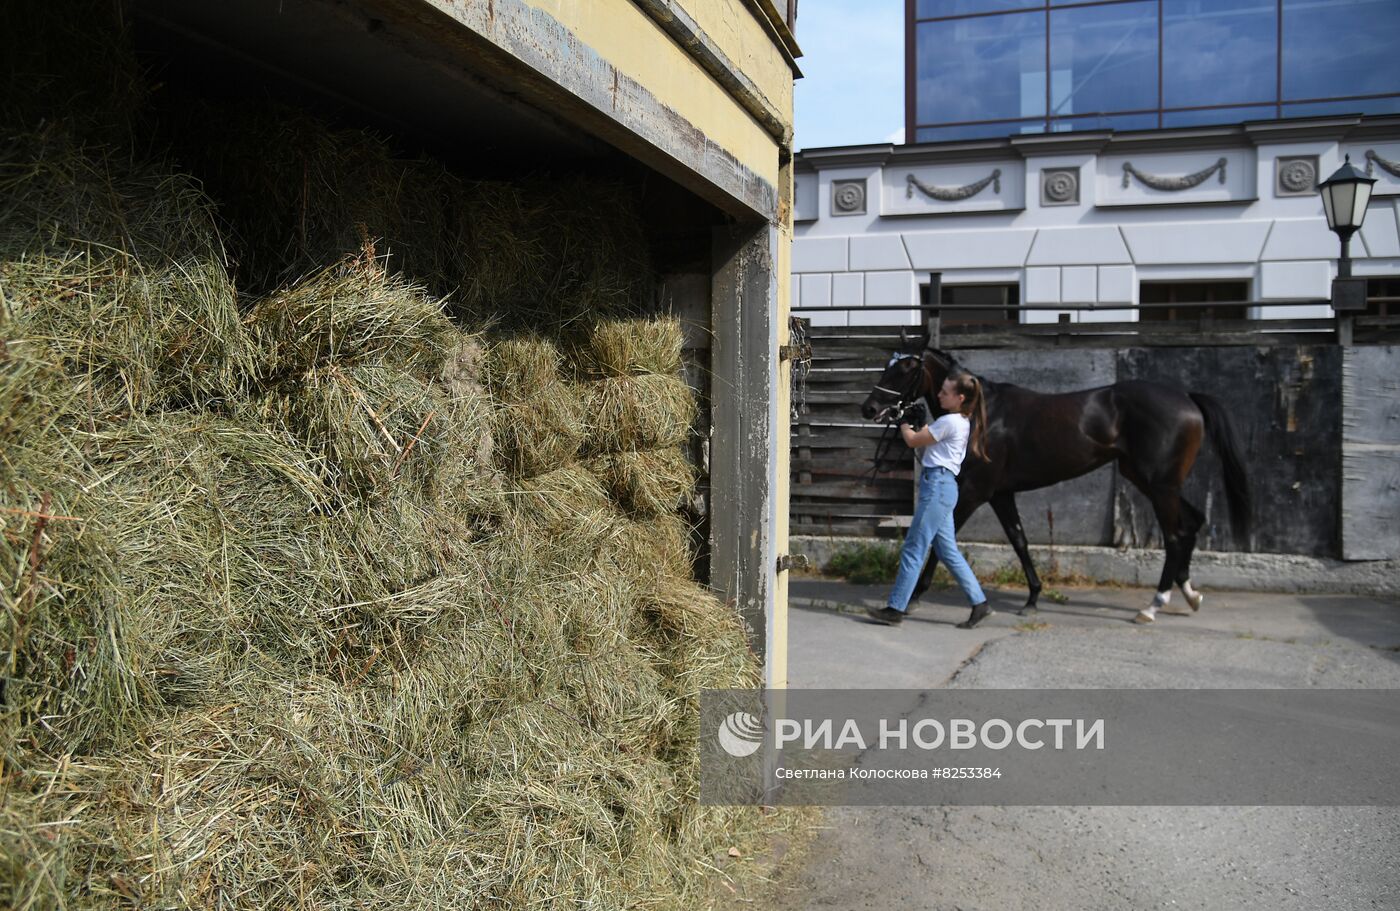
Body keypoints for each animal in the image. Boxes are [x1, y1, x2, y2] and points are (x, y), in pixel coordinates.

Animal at [856, 345, 1254, 624]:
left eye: (903, 370)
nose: (869, 408)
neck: (982, 416)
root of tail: (1187, 398)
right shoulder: (1001, 494)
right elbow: (1019, 541)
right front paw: (1033, 598)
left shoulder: (974, 491)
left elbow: (940, 544)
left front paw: (913, 598)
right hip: (1152, 481)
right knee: (1191, 524)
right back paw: (1190, 595)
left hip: (1160, 486)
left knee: (1174, 535)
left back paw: (1154, 606)